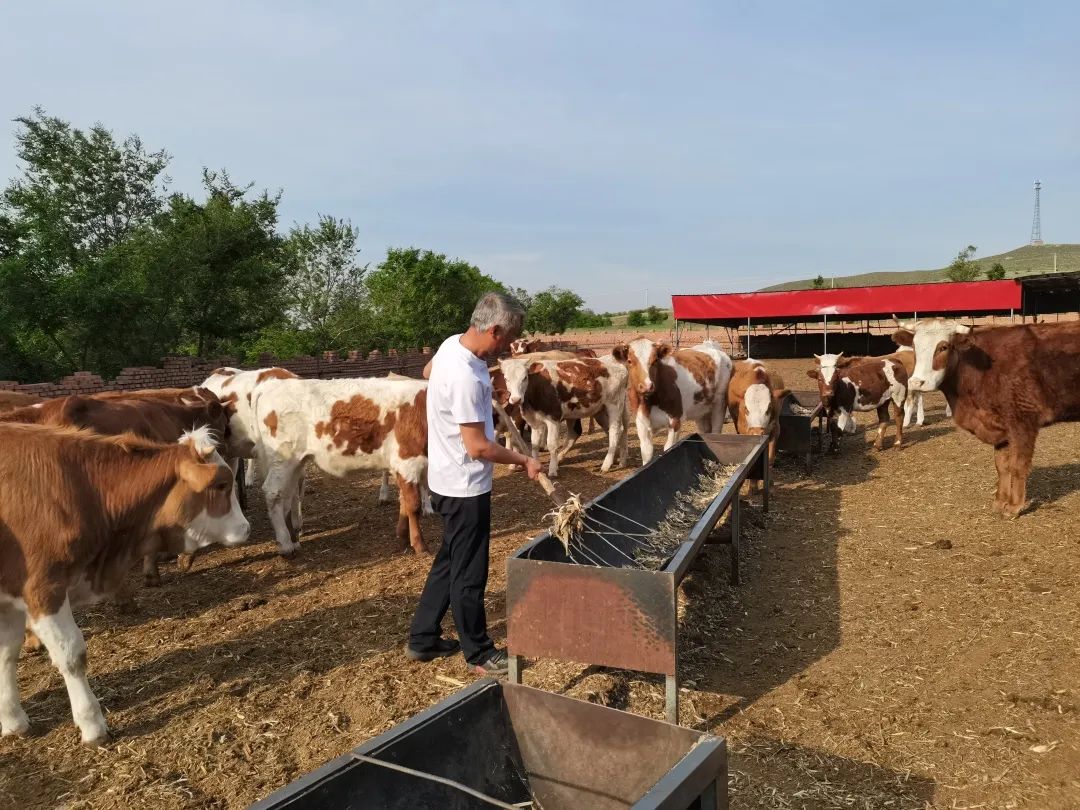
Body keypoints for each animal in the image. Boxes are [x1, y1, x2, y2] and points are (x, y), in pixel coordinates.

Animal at [0, 425, 247, 747]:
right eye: (221, 485)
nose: (245, 528)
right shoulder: (43, 589)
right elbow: (72, 656)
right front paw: (92, 724)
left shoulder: (9, 596)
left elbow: (7, 654)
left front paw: (12, 720)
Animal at [253, 378, 429, 557]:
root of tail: (273, 384)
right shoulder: (407, 462)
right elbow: (413, 506)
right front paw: (420, 545)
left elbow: (404, 503)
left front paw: (403, 537)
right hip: (282, 459)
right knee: (273, 492)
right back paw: (285, 544)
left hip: (295, 464)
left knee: (287, 496)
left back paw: (294, 541)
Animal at [494, 354, 630, 475]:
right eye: (506, 379)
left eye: (525, 377)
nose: (515, 399)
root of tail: (611, 360)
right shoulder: (534, 422)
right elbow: (535, 445)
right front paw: (536, 466)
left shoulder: (553, 419)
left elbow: (552, 445)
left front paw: (552, 470)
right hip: (600, 410)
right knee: (615, 430)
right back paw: (621, 461)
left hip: (614, 405)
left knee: (615, 431)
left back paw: (606, 465)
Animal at [889, 319, 1080, 516]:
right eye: (914, 346)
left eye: (943, 347)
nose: (916, 382)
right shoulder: (999, 425)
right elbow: (1002, 466)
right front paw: (1000, 501)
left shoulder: (1023, 422)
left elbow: (1018, 465)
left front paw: (1014, 506)